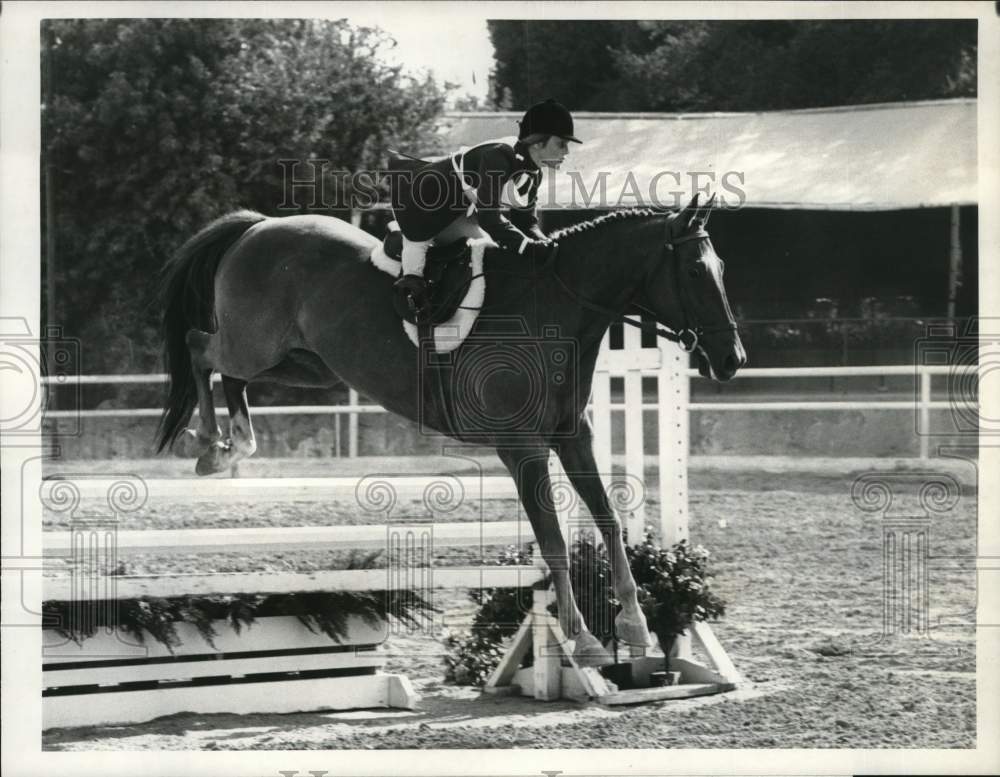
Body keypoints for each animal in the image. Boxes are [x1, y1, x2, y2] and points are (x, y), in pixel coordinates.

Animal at [156, 196, 748, 668]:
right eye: (697, 272)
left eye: (723, 267)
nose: (731, 360)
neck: (558, 307)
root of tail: (258, 227)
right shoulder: (521, 447)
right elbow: (555, 542)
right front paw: (583, 641)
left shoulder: (571, 436)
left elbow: (607, 521)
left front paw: (635, 626)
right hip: (257, 343)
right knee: (200, 347)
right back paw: (209, 445)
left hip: (304, 362)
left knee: (230, 373)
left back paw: (235, 444)